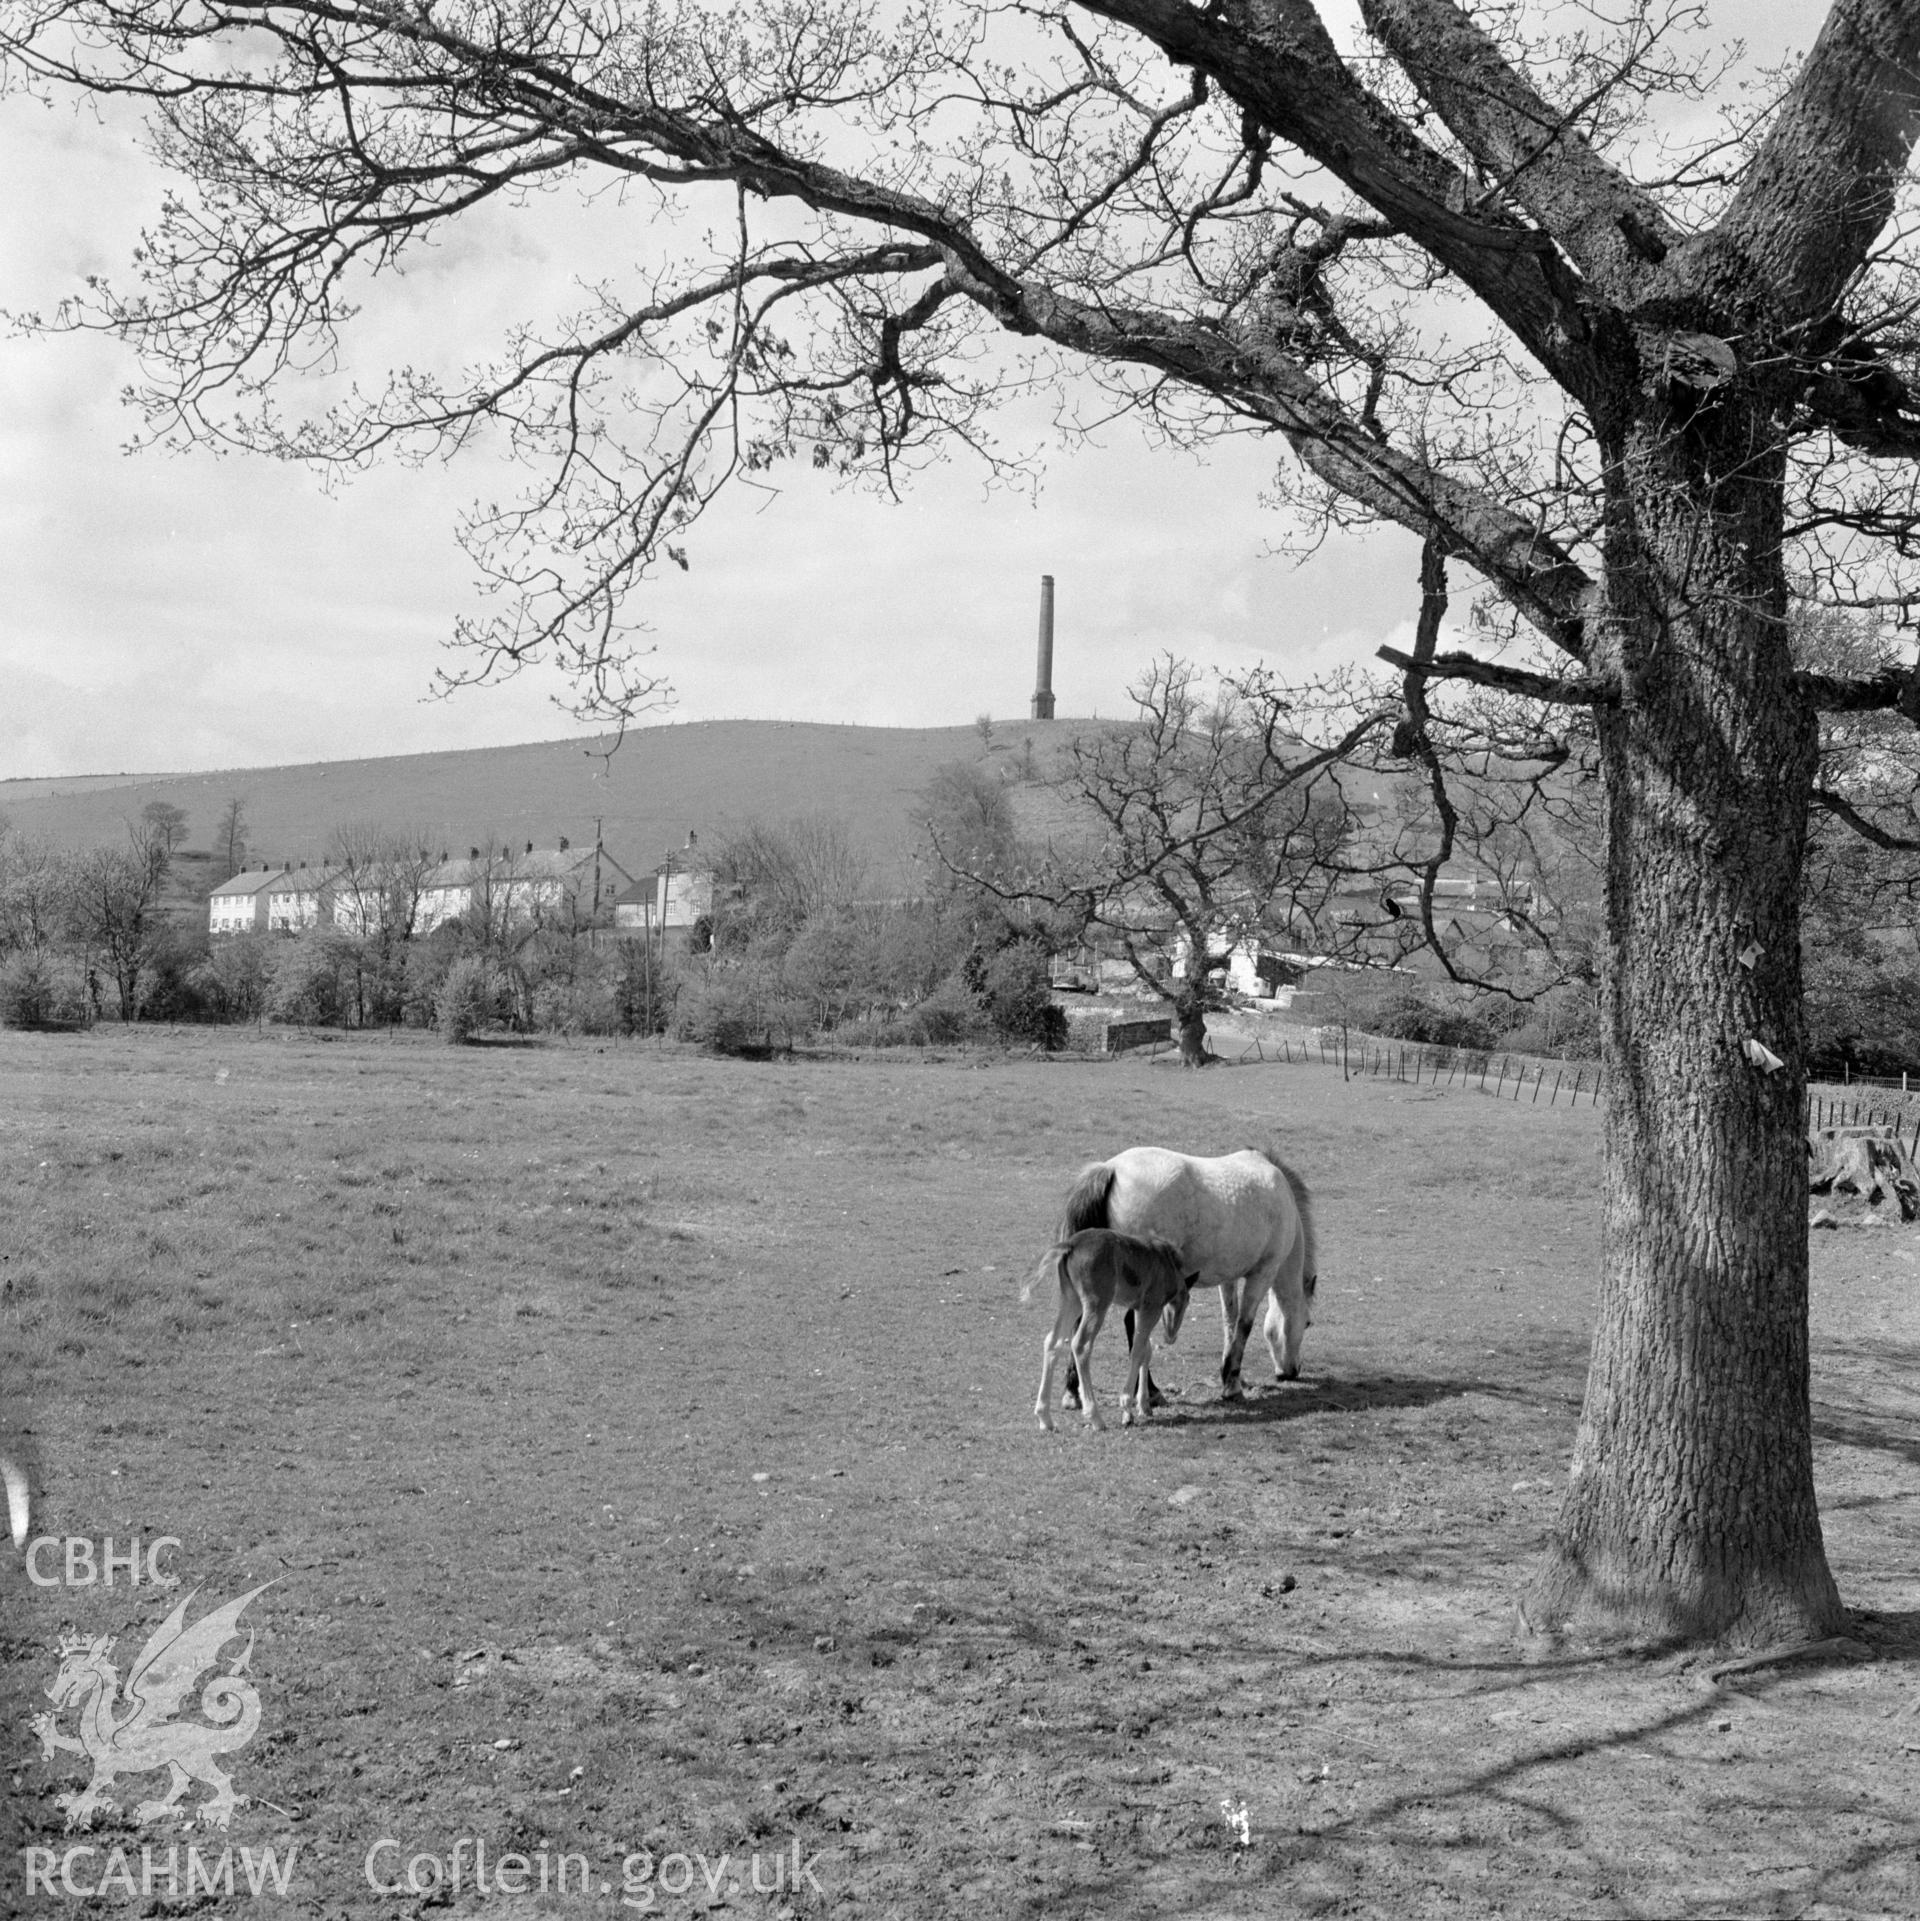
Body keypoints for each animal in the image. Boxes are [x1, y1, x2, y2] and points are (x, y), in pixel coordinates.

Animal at [1030, 1229, 1191, 1429]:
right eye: (1187, 1301)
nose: (1171, 1336)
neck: (1165, 1261)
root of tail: (1072, 1244)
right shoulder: (1151, 1308)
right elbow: (1138, 1350)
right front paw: (1127, 1409)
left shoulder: (1138, 1309)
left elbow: (1146, 1349)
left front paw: (1144, 1405)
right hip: (1096, 1304)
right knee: (1081, 1345)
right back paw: (1095, 1417)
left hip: (1071, 1300)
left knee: (1053, 1342)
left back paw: (1045, 1418)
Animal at [1060, 1144, 1314, 1406]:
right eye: (1307, 1323)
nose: (1291, 1371)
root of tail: (1110, 1169)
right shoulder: (1263, 1273)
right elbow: (1244, 1324)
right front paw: (1232, 1385)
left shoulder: (1228, 1276)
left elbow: (1230, 1321)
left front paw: (1229, 1374)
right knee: (1134, 1327)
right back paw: (1151, 1391)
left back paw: (1073, 1391)